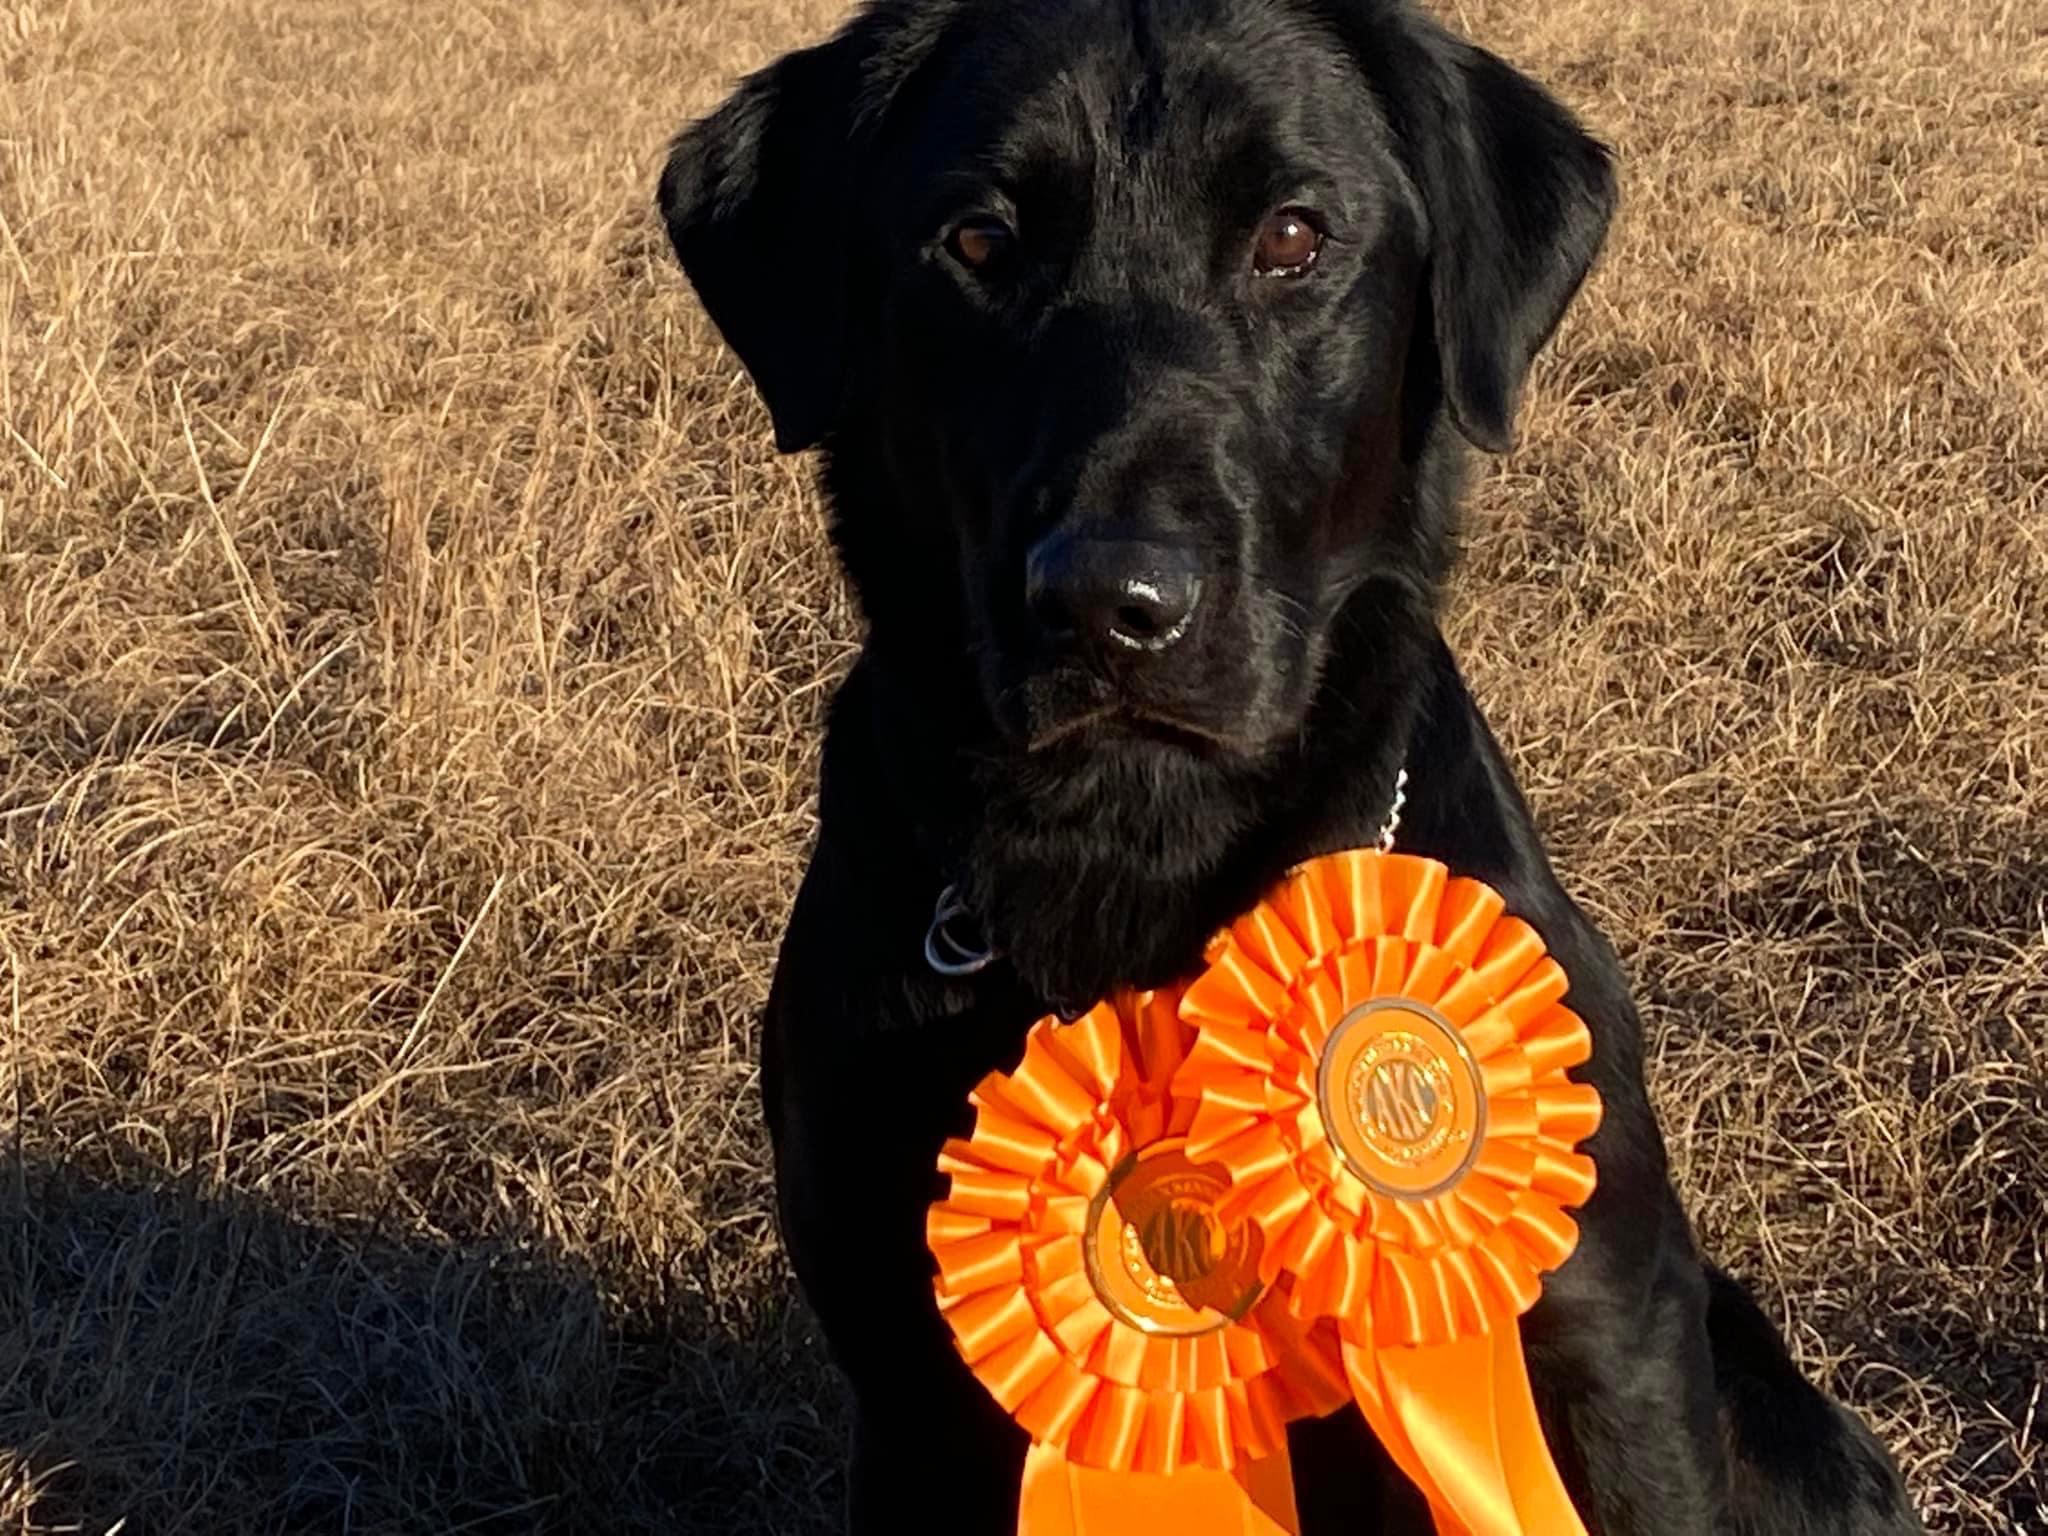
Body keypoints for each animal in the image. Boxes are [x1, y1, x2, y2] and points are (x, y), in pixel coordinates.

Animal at [663, 6, 1925, 1531]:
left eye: (1290, 236)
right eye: (974, 241)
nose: (1108, 606)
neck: (1135, 852)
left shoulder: (1607, 1345)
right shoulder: (908, 1392)